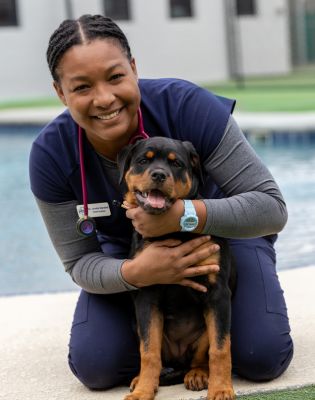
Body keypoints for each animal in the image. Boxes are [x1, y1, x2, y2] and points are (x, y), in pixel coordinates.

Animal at [117, 136, 236, 398]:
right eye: (143, 160)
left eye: (177, 163)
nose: (159, 174)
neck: (173, 233)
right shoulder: (147, 295)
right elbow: (148, 351)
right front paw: (143, 391)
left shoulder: (218, 293)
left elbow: (220, 347)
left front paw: (222, 389)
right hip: (137, 324)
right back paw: (139, 379)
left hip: (202, 332)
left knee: (200, 357)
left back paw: (198, 375)